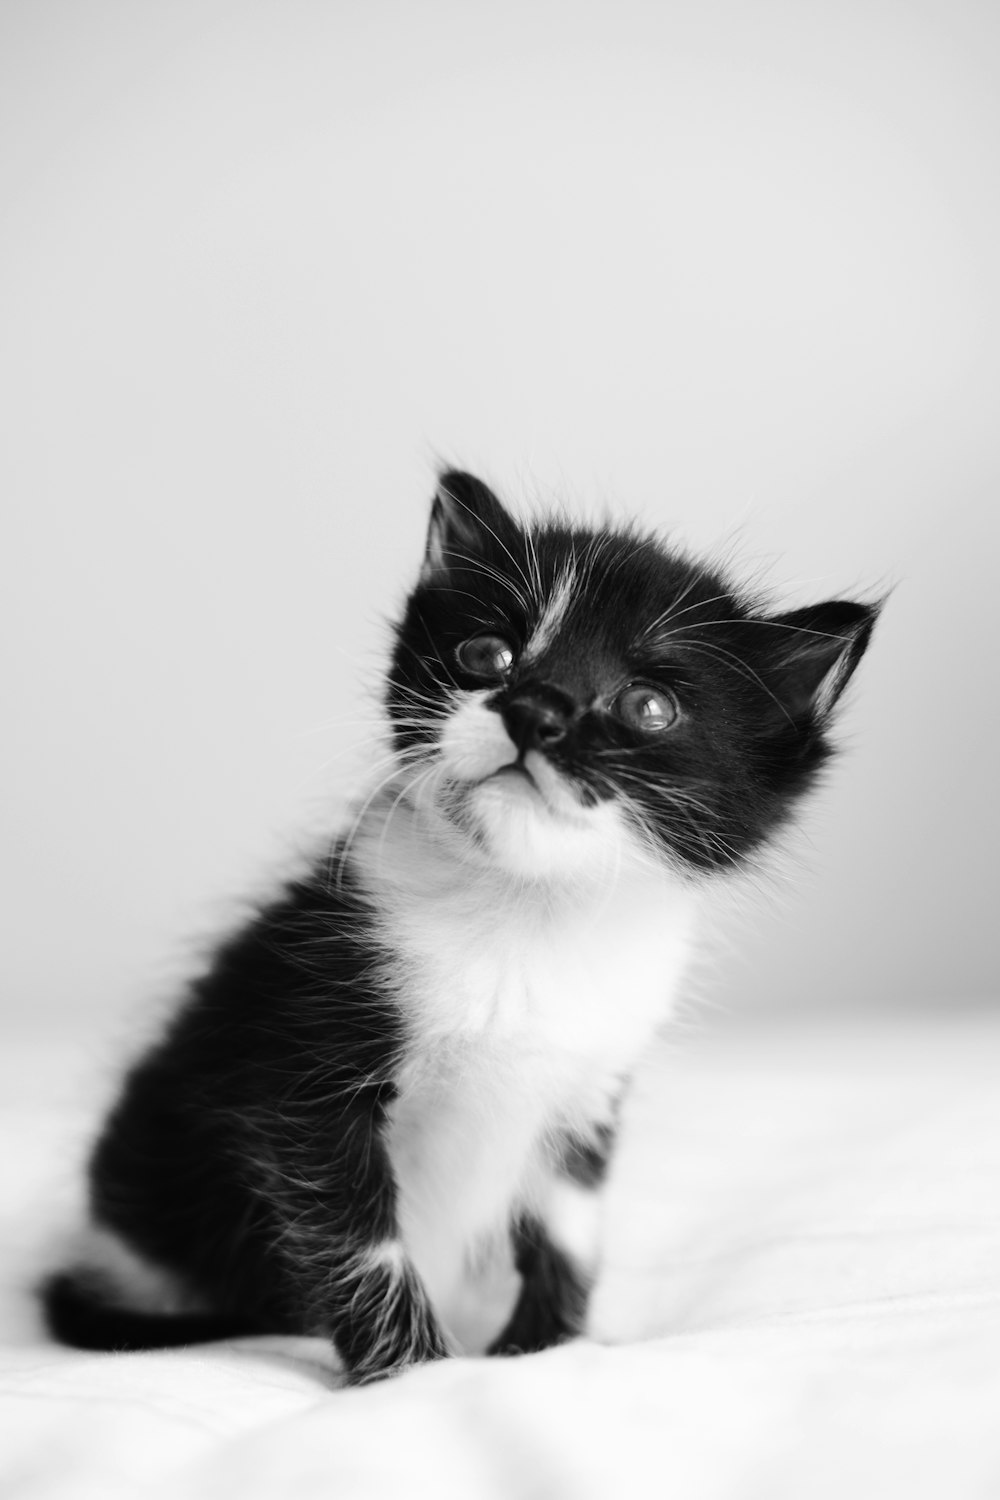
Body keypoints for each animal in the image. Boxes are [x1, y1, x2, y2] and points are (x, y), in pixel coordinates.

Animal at [43, 468, 881, 1380]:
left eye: (650, 707)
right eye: (487, 655)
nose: (536, 711)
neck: (527, 910)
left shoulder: (589, 1083)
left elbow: (569, 1232)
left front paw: (545, 1354)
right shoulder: (306, 1055)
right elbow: (358, 1239)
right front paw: (414, 1374)